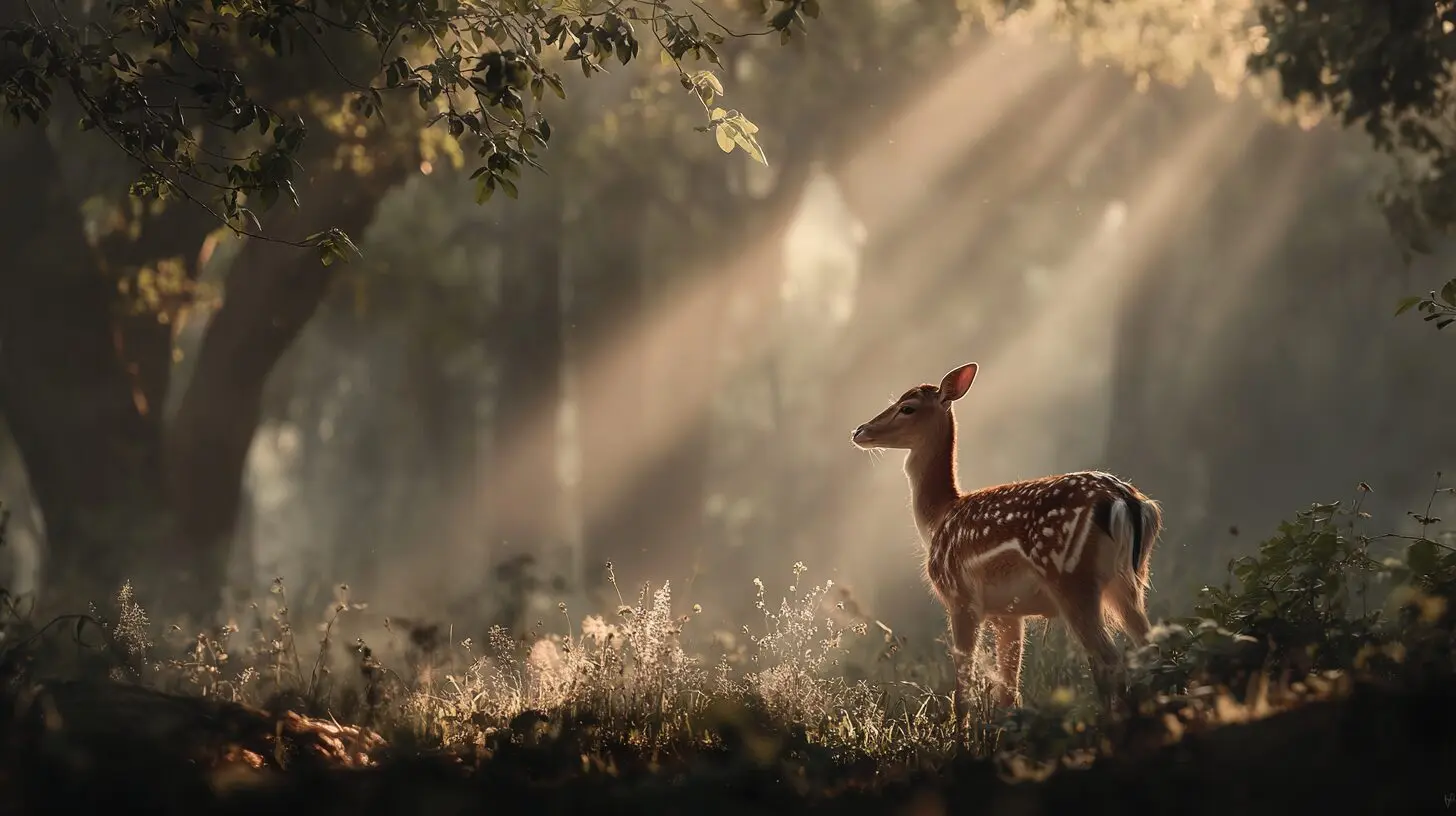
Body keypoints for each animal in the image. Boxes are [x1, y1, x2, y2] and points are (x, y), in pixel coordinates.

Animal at [850, 362, 1161, 726]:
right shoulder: (1008, 612)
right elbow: (1008, 692)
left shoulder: (961, 597)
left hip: (1071, 578)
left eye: (907, 407)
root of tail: (1126, 501)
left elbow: (963, 691)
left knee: (1108, 658)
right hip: (1128, 582)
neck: (939, 518)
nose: (859, 431)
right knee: (1150, 646)